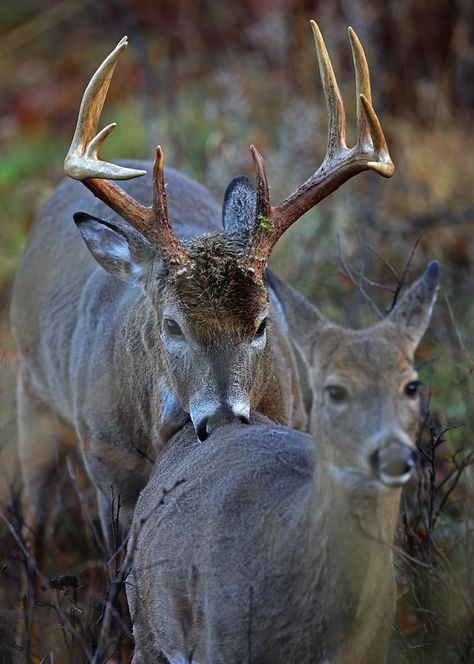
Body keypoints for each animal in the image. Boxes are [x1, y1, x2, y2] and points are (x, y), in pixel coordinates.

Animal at [11, 19, 394, 564]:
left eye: (261, 323)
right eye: (172, 325)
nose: (223, 419)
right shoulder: (106, 467)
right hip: (31, 389)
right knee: (36, 517)